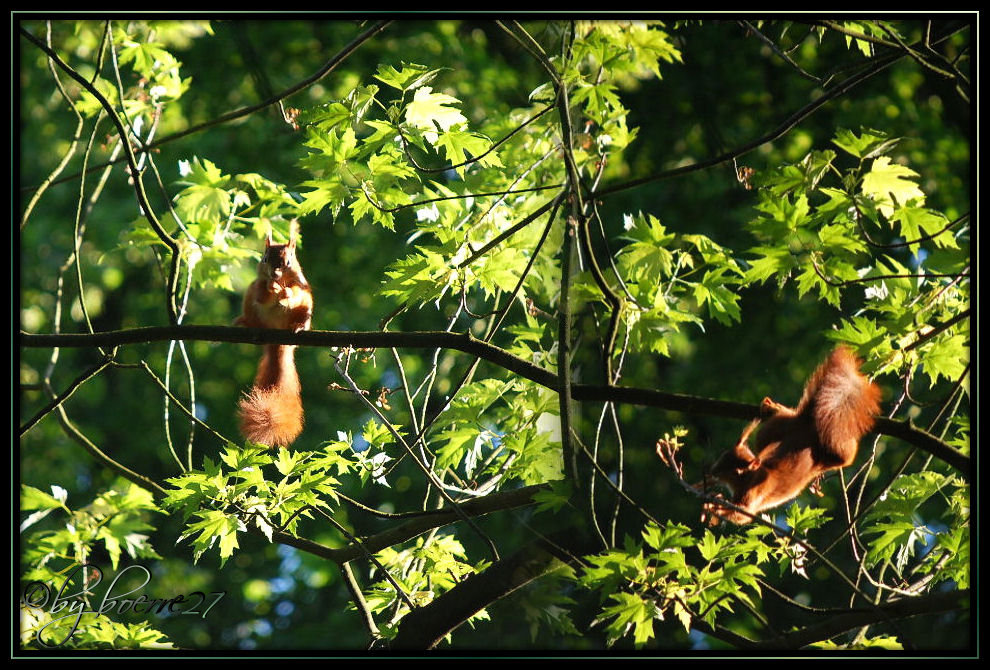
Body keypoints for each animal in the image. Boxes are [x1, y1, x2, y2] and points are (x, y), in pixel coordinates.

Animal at [234, 226, 312, 452]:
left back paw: (298, 326)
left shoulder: (303, 287)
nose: (274, 274)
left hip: (307, 308)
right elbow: (262, 294)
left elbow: (295, 292)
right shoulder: (257, 287)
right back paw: (246, 324)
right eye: (265, 258)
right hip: (249, 304)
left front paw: (285, 293)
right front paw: (271, 287)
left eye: (288, 262)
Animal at [704, 350, 884, 528]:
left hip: (830, 452)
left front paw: (714, 507)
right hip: (774, 429)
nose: (712, 471)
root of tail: (807, 425)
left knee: (846, 454)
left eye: (733, 470)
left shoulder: (752, 494)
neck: (753, 474)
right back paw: (773, 407)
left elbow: (741, 515)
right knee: (786, 415)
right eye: (723, 456)